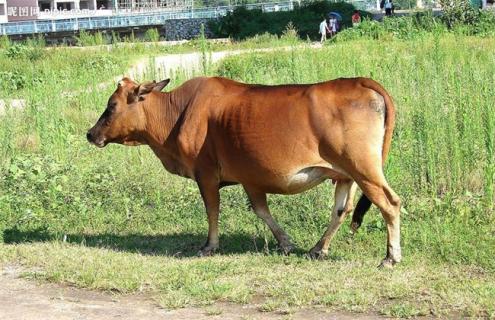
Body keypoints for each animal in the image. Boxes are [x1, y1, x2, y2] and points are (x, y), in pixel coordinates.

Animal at [86, 76, 404, 266]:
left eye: (111, 106)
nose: (91, 134)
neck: (176, 113)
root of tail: (361, 82)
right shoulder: (251, 178)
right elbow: (262, 211)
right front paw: (285, 242)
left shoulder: (206, 174)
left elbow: (212, 210)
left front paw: (209, 245)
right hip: (344, 174)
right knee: (341, 210)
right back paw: (317, 248)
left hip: (364, 168)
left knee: (390, 204)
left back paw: (390, 256)